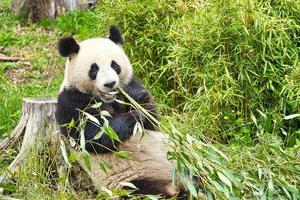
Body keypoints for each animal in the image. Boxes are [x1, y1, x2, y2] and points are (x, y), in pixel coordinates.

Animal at [55, 26, 184, 197]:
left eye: (114, 65)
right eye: (94, 68)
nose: (110, 84)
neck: (108, 99)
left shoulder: (128, 86)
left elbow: (152, 122)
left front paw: (138, 100)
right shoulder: (71, 101)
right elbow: (92, 134)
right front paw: (134, 116)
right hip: (130, 182)